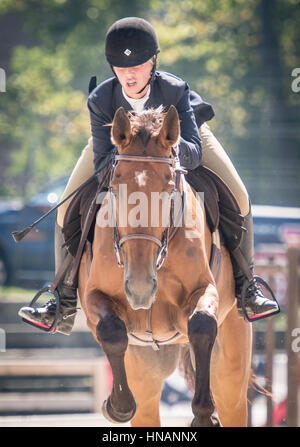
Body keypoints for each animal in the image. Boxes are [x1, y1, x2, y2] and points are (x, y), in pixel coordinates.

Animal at [78, 106, 253, 428]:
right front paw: (116, 405)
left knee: (230, 397)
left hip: (230, 364)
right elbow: (111, 330)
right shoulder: (94, 298)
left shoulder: (203, 290)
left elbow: (202, 324)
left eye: (170, 189)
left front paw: (203, 414)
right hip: (145, 367)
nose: (140, 288)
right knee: (145, 402)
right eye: (115, 187)